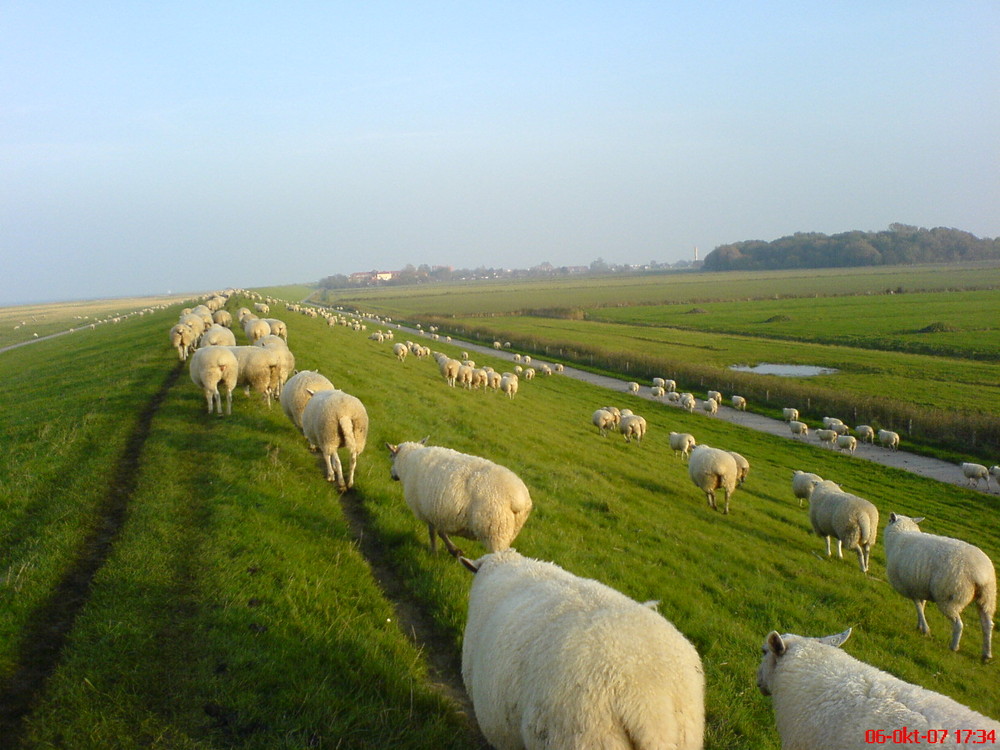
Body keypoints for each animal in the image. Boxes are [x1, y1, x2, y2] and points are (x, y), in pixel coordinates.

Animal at [386, 440, 536, 560]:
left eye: (391, 456)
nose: (392, 475)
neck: (407, 462)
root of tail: (518, 498)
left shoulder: (428, 511)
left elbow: (434, 533)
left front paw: (435, 552)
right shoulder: (438, 512)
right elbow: (440, 532)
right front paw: (454, 551)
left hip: (496, 531)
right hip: (509, 531)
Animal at [888, 512, 996, 664]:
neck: (900, 534)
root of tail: (980, 572)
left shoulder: (912, 587)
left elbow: (918, 606)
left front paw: (925, 629)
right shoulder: (921, 587)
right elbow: (922, 606)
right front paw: (920, 625)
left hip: (950, 596)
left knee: (958, 624)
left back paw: (954, 647)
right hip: (987, 597)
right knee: (987, 625)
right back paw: (986, 654)